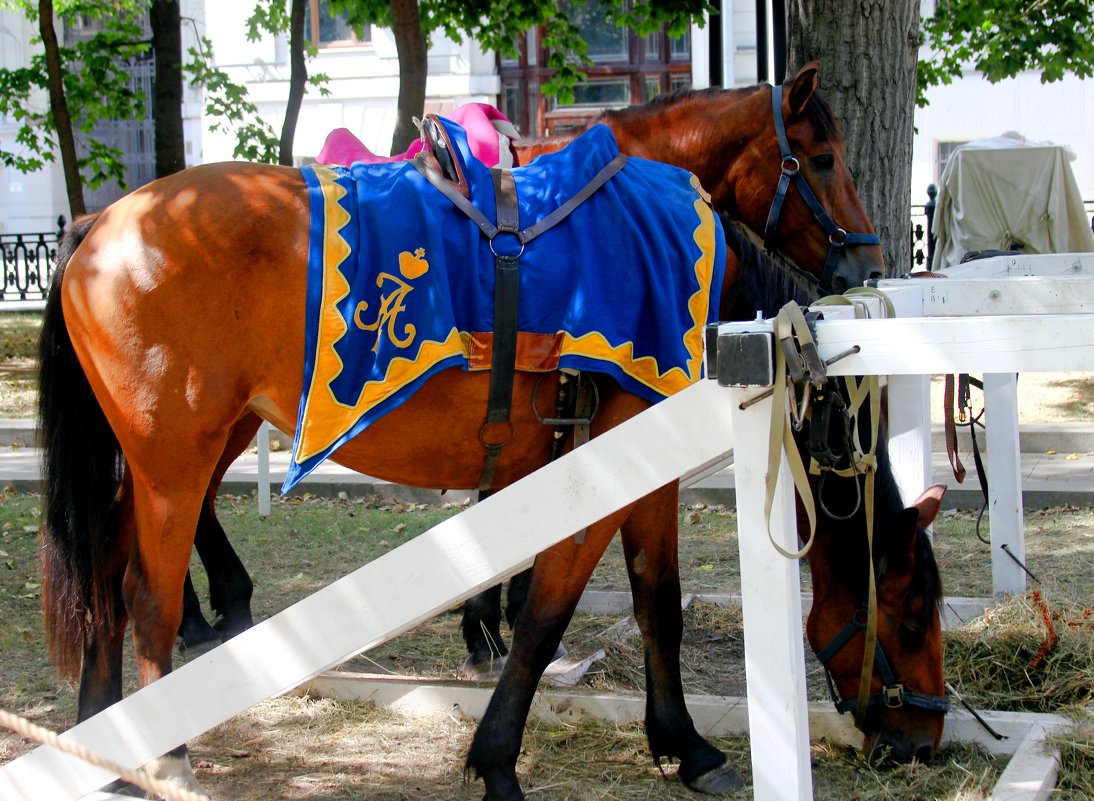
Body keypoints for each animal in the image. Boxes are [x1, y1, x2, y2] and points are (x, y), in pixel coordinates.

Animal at [34, 67, 940, 800]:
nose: (923, 739)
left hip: (177, 450)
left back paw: (100, 743)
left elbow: (655, 599)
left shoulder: (631, 460)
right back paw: (163, 751)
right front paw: (499, 756)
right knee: (146, 596)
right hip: (176, 458)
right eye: (910, 609)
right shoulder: (603, 457)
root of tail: (97, 225)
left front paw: (684, 745)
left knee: (107, 578)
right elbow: (546, 609)